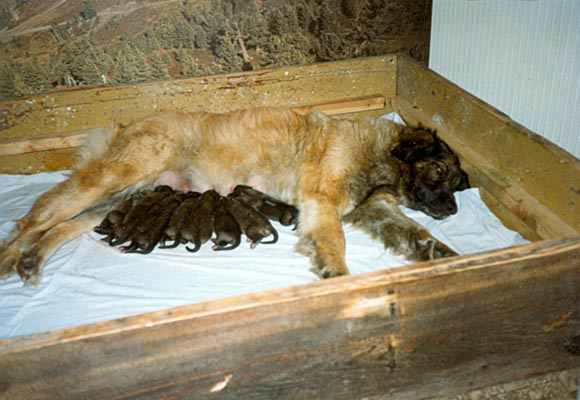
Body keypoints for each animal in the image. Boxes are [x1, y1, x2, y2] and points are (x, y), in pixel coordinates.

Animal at [0, 107, 468, 285]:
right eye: (439, 171)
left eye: (455, 180)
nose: (453, 208)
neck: (378, 158)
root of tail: (127, 125)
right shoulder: (322, 201)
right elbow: (334, 241)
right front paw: (337, 277)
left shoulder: (374, 209)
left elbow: (416, 235)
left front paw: (447, 258)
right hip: (116, 177)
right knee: (37, 215)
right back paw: (11, 257)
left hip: (124, 195)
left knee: (61, 227)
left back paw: (31, 260)